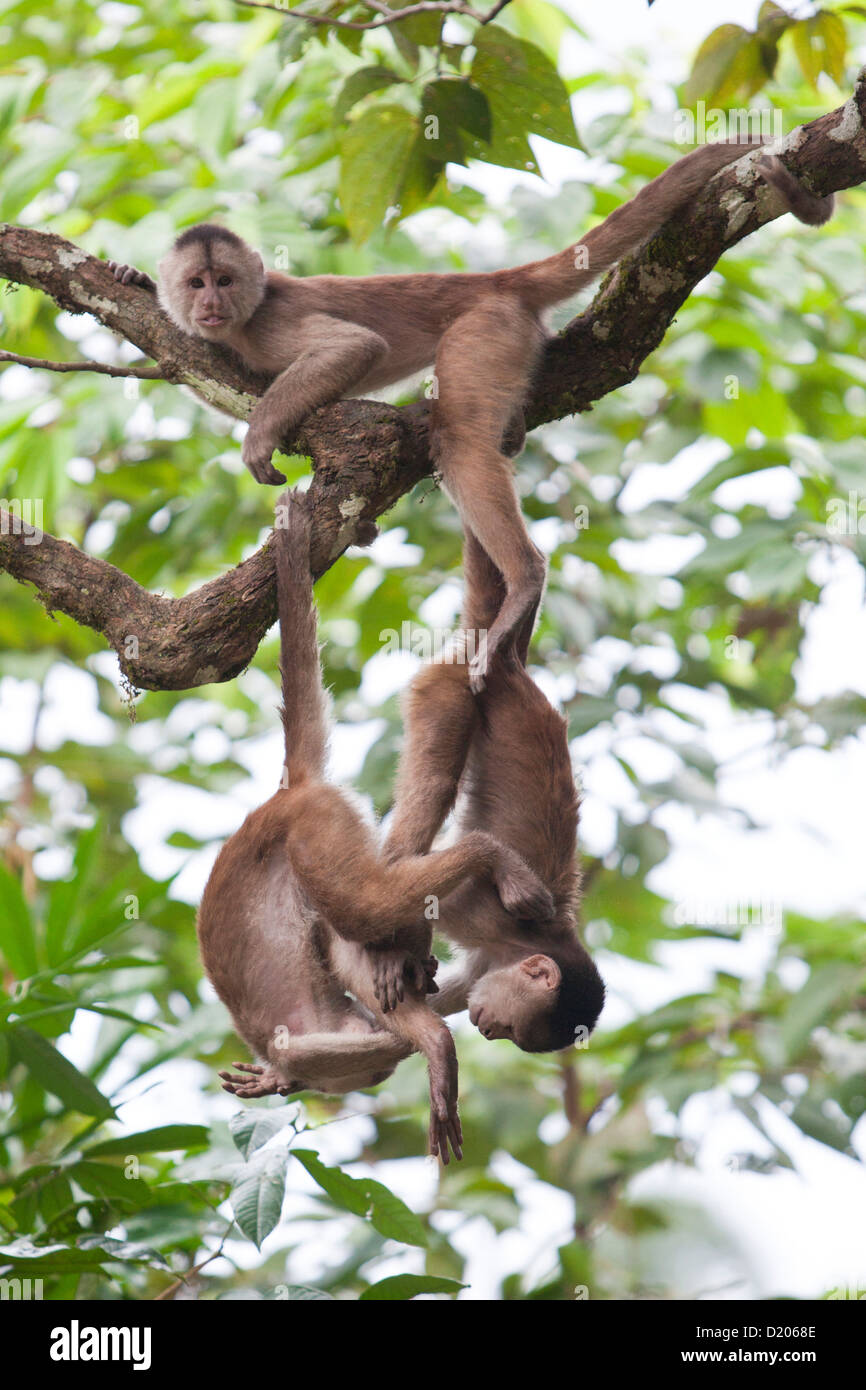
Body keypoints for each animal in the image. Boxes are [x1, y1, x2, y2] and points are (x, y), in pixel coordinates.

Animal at [107, 145, 834, 689]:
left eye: (224, 281)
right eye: (196, 284)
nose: (209, 304)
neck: (243, 319)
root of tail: (496, 282)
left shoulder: (266, 323)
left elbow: (352, 350)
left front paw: (260, 436)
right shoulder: (226, 340)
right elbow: (200, 365)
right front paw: (133, 278)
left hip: (488, 330)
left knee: (458, 441)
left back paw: (524, 581)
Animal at [198, 489, 556, 1162]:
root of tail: (288, 794)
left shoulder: (323, 1035)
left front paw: (435, 1042)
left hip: (315, 828)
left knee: (358, 907)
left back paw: (486, 857)